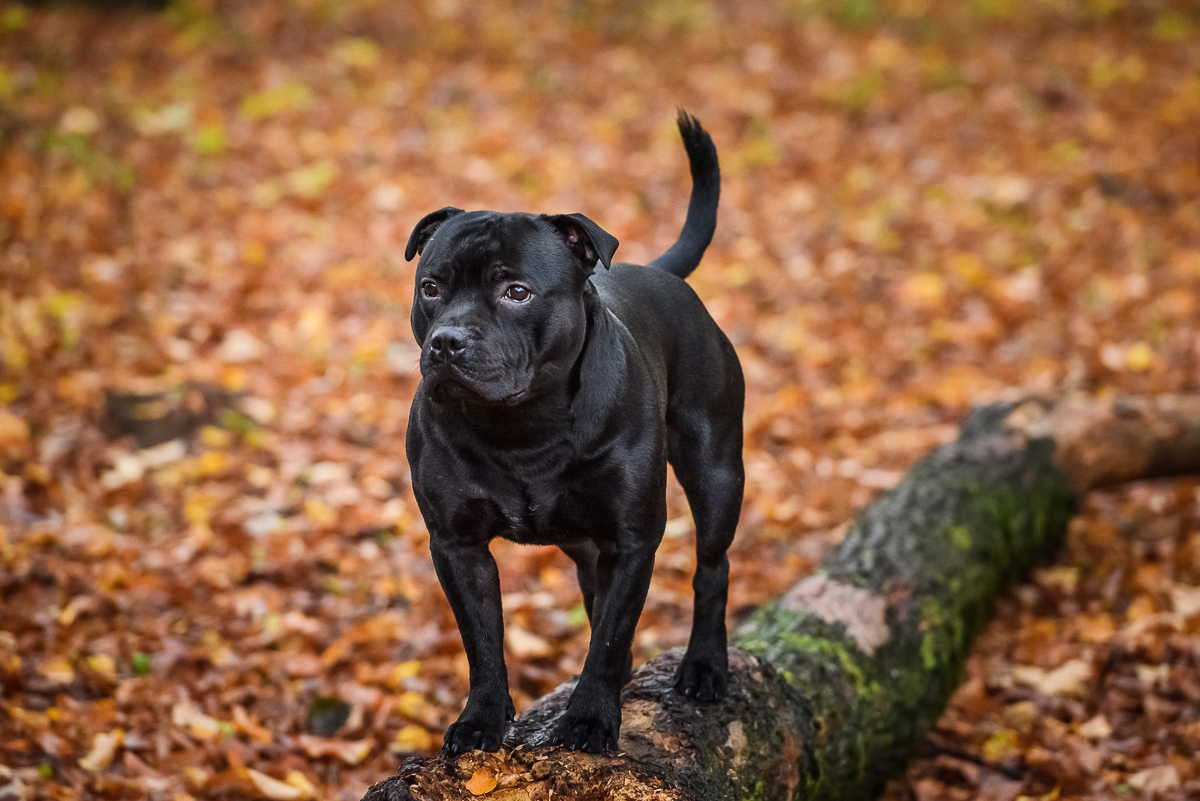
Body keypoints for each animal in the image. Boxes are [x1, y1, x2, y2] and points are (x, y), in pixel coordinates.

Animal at [403, 110, 739, 753]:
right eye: (431, 288)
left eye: (517, 292)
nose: (447, 342)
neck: (524, 426)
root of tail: (658, 272)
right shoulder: (458, 546)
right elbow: (483, 644)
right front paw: (482, 719)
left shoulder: (633, 540)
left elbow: (608, 636)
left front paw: (588, 719)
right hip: (584, 535)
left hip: (716, 475)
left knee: (712, 568)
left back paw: (705, 666)